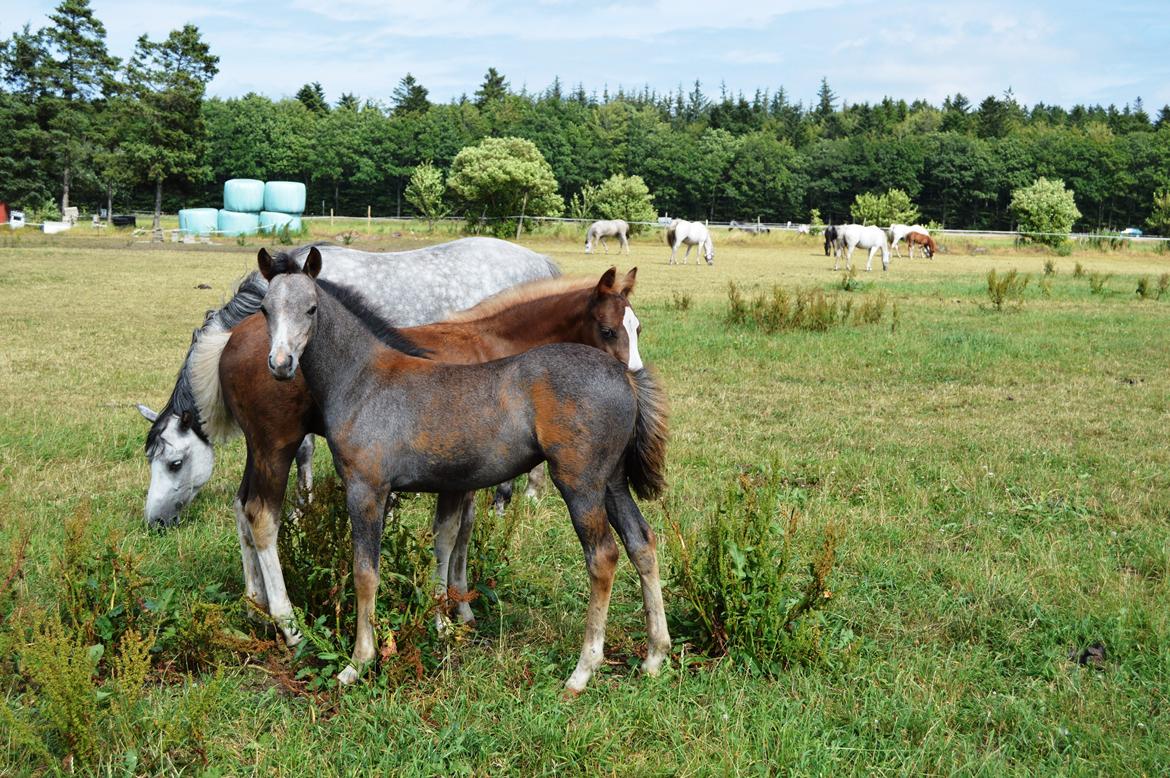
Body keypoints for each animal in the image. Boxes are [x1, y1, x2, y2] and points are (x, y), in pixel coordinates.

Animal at [136, 238, 556, 528]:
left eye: (175, 463)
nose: (155, 522)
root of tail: (541, 261)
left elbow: (304, 450)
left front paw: (301, 507)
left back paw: (514, 497)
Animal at [260, 249, 673, 692]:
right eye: (265, 308)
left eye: (311, 308)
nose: (280, 364)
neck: (363, 380)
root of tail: (625, 378)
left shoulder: (367, 489)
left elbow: (365, 572)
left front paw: (358, 662)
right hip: (611, 482)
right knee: (641, 542)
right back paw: (654, 655)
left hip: (580, 484)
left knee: (603, 556)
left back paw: (583, 669)